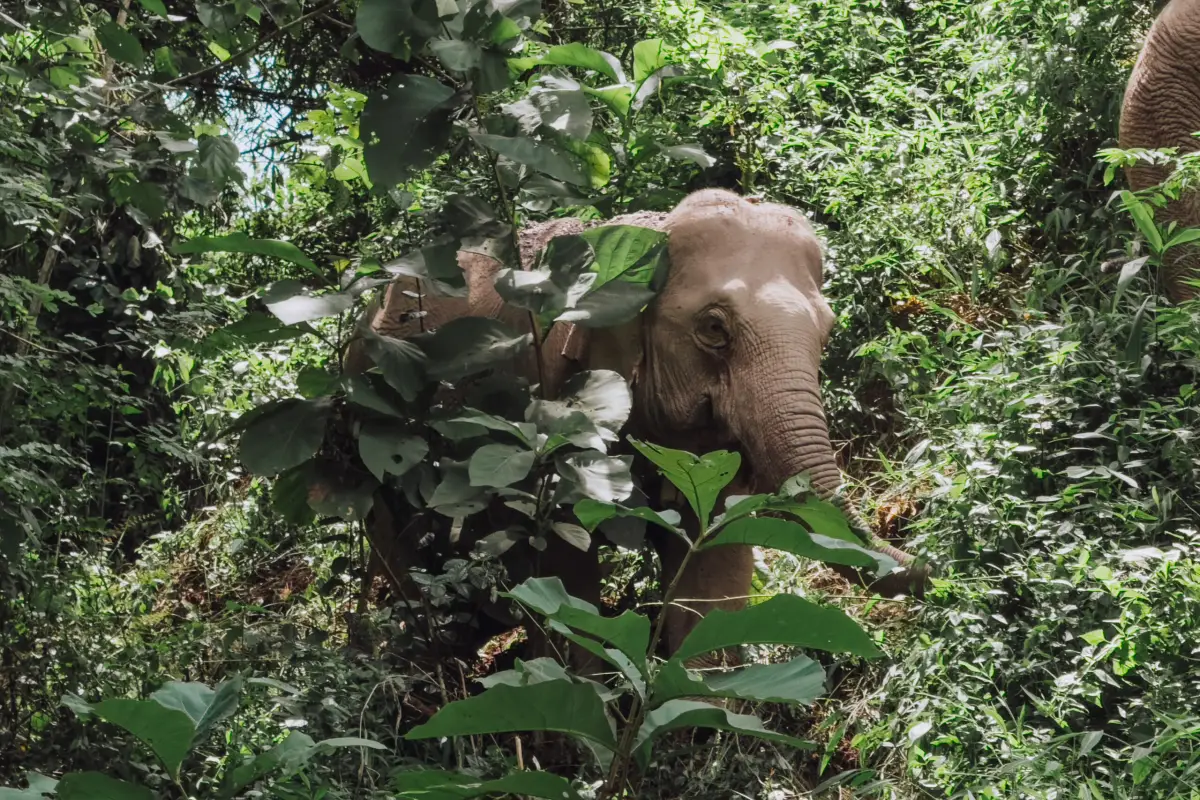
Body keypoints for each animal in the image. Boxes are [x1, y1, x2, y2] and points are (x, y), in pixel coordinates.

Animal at [345, 189, 931, 667]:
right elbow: (563, 561)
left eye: (827, 331)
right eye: (714, 328)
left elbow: (713, 550)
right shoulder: (544, 404)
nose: (932, 570)